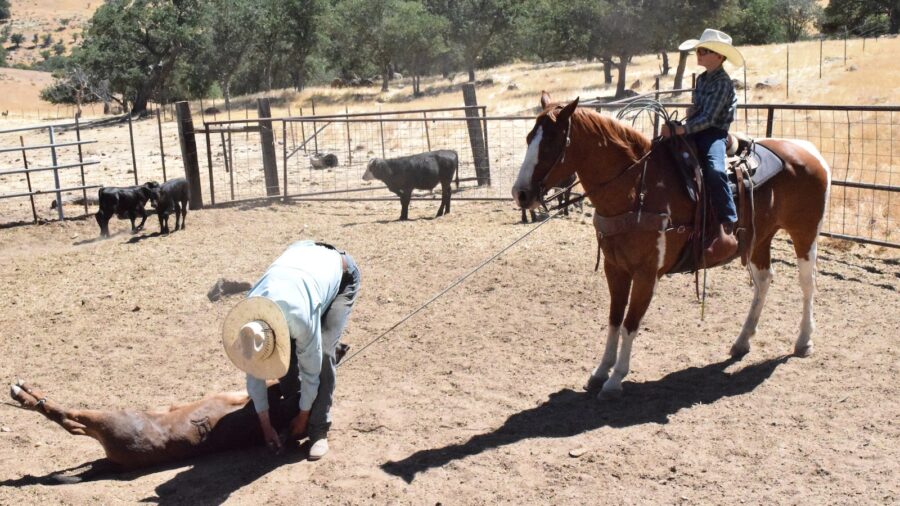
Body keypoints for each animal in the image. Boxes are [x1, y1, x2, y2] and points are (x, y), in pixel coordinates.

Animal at [512, 92, 831, 400]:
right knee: (764, 281)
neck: (636, 189)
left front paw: (615, 380)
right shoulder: (614, 268)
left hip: (804, 233)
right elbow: (614, 319)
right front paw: (601, 371)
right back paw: (742, 342)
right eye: (528, 138)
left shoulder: (646, 273)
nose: (521, 193)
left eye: (551, 143)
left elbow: (630, 322)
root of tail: (809, 150)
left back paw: (803, 341)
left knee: (807, 283)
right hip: (758, 239)